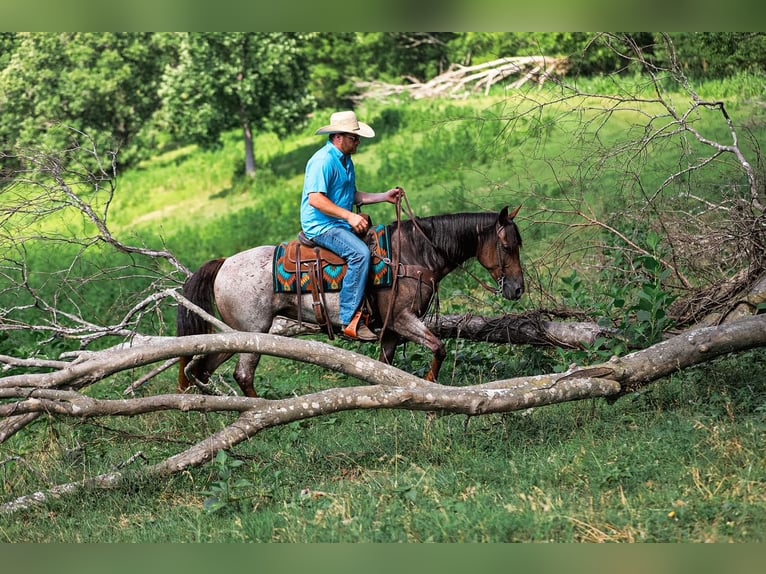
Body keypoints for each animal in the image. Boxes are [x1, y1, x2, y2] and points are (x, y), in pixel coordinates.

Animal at [176, 206, 525, 397]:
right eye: (507, 246)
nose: (518, 289)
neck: (414, 254)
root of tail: (224, 263)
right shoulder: (402, 319)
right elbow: (439, 347)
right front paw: (428, 383)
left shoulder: (391, 331)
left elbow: (385, 367)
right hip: (254, 333)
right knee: (242, 374)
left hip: (236, 335)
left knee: (202, 368)